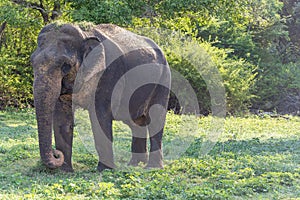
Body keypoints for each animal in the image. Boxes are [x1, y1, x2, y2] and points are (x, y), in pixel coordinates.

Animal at [31, 21, 171, 172]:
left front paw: (105, 170)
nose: (56, 154)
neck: (84, 34)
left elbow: (100, 116)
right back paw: (134, 164)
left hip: (164, 80)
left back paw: (152, 167)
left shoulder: (108, 74)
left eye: (65, 65)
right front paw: (65, 171)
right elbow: (62, 119)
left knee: (155, 118)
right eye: (32, 63)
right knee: (136, 121)